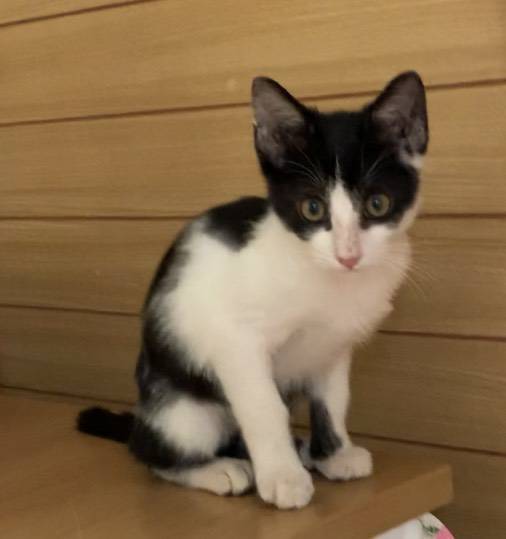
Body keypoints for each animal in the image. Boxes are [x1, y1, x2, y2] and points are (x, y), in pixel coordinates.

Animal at [78, 71, 428, 510]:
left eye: (377, 203)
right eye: (312, 208)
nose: (348, 255)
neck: (325, 278)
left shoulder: (334, 345)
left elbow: (333, 399)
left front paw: (334, 454)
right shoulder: (235, 340)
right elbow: (265, 407)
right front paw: (283, 477)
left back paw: (298, 451)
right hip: (183, 410)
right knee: (149, 450)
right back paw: (217, 469)